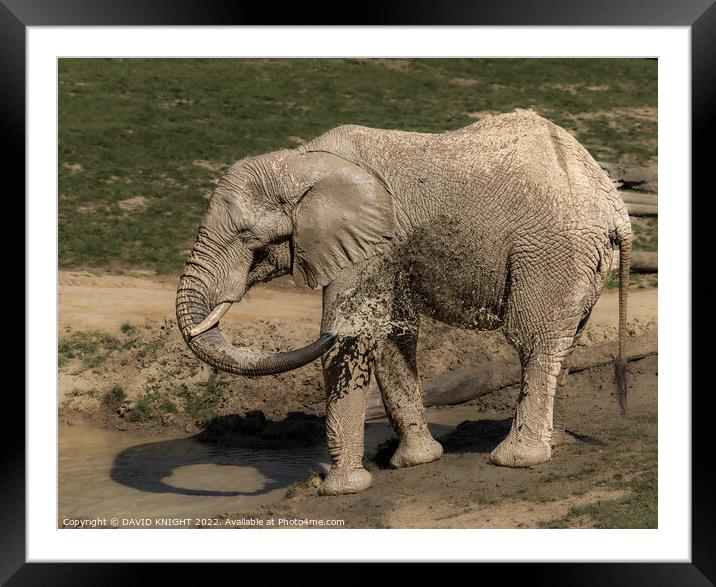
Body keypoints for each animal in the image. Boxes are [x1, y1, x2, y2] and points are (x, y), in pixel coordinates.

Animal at [175, 110, 632, 496]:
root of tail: (613, 203)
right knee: (565, 340)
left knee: (533, 340)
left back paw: (516, 459)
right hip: (582, 258)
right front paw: (416, 461)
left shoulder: (366, 242)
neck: (300, 161)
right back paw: (556, 442)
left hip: (551, 250)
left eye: (247, 237)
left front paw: (339, 489)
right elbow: (392, 334)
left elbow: (355, 338)